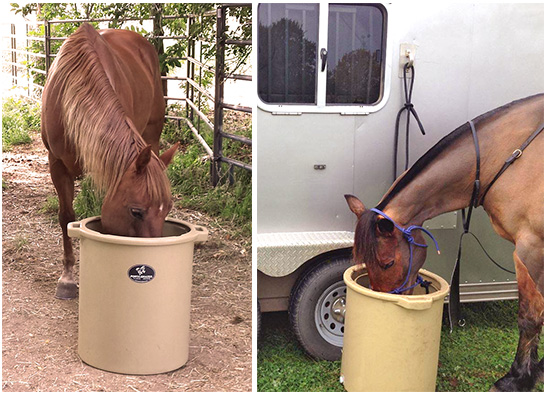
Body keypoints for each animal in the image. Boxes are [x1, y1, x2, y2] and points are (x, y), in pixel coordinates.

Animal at [41, 23, 178, 298]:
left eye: (168, 209)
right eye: (136, 211)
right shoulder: (57, 164)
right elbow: (66, 216)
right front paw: (67, 278)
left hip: (152, 134)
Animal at [346, 93, 544, 392]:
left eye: (387, 262)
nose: (384, 297)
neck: (505, 157)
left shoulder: (531, 248)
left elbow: (530, 316)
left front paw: (516, 378)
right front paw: (534, 370)